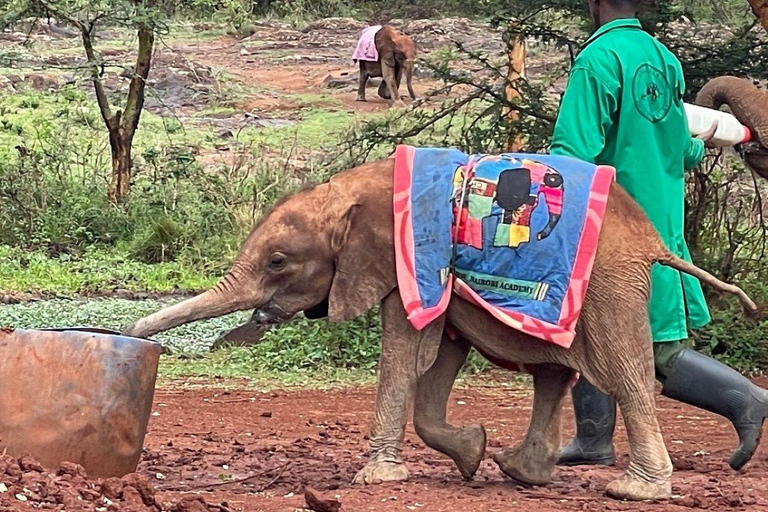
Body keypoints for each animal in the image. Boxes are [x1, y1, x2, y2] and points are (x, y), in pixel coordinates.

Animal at [121, 159, 756, 500]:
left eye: (278, 263)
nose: (133, 335)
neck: (349, 190)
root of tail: (654, 240)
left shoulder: (410, 256)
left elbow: (406, 354)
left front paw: (375, 478)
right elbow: (440, 353)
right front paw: (472, 453)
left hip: (605, 287)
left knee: (625, 374)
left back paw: (636, 490)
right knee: (554, 374)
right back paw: (519, 472)